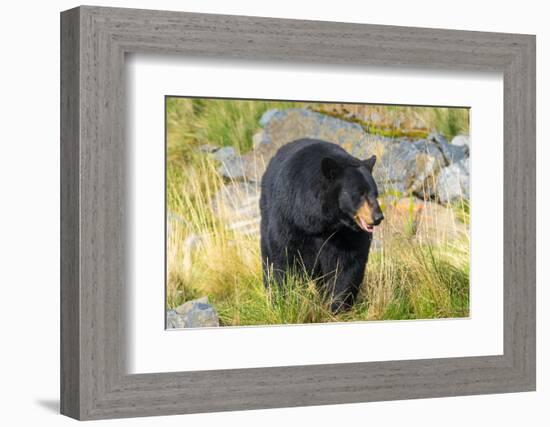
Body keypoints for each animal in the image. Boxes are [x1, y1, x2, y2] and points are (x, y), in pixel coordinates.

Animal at [260, 139, 386, 312]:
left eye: (375, 193)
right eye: (360, 193)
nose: (378, 217)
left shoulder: (345, 234)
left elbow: (346, 264)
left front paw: (337, 306)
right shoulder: (289, 219)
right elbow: (283, 258)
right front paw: (284, 302)